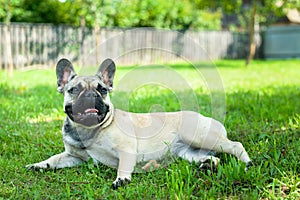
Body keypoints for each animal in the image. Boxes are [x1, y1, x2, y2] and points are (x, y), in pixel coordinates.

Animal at [25, 58, 252, 189]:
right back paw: (208, 164)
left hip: (199, 135)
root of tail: (209, 119)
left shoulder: (126, 148)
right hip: (187, 151)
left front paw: (122, 179)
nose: (91, 95)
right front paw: (40, 165)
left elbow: (123, 165)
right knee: (211, 157)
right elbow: (54, 159)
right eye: (73, 89)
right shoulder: (73, 156)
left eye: (103, 90)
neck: (88, 130)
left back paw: (246, 162)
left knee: (235, 145)